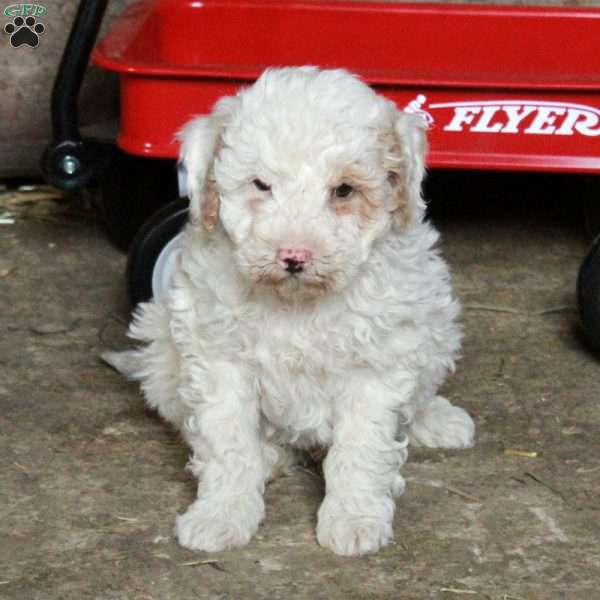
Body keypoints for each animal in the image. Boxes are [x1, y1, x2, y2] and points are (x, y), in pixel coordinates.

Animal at [105, 67, 476, 556]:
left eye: (344, 190)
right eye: (261, 185)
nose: (294, 256)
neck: (296, 303)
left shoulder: (376, 367)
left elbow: (361, 447)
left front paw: (354, 518)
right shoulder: (220, 361)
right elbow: (228, 443)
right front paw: (221, 514)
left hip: (437, 321)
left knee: (419, 394)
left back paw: (437, 419)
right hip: (161, 344)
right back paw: (267, 457)